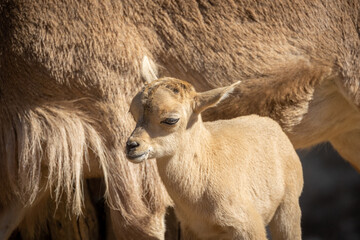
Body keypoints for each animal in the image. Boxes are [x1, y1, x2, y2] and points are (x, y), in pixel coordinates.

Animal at [125, 78, 302, 239]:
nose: (132, 146)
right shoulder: (190, 228)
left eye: (171, 119)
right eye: (133, 113)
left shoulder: (249, 225)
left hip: (288, 204)